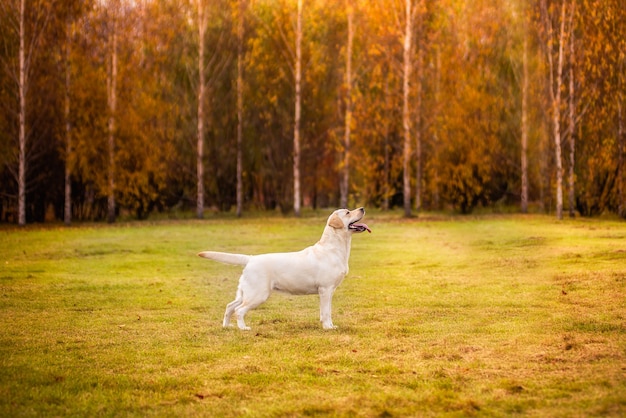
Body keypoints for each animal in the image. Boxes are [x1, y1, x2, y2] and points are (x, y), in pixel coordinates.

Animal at [197, 207, 368, 332]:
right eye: (347, 212)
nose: (362, 208)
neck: (334, 248)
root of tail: (250, 258)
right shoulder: (325, 290)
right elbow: (325, 312)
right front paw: (327, 328)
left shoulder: (330, 291)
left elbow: (328, 312)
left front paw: (332, 326)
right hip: (258, 294)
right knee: (239, 310)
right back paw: (243, 328)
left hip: (245, 292)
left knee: (230, 306)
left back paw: (226, 326)